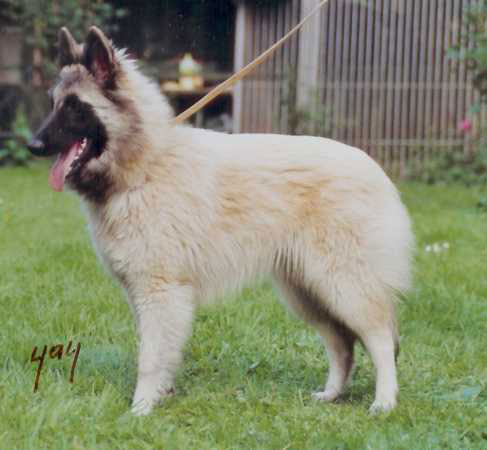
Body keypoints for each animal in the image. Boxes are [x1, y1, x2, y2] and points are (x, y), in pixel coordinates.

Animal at [28, 26, 413, 416]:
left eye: (75, 107)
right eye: (54, 103)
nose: (32, 145)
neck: (144, 166)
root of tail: (375, 169)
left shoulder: (160, 292)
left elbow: (150, 357)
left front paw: (140, 409)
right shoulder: (144, 295)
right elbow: (159, 352)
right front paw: (161, 395)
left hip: (344, 286)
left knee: (380, 340)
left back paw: (384, 402)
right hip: (308, 292)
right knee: (342, 345)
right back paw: (331, 395)